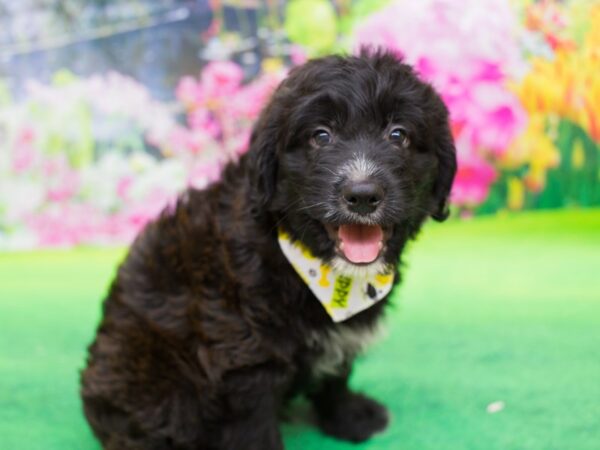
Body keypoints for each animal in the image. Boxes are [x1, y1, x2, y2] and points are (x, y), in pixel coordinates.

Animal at [79, 49, 454, 450]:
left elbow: (337, 373)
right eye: (320, 136)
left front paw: (348, 417)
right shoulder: (244, 349)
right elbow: (252, 420)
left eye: (398, 134)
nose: (363, 194)